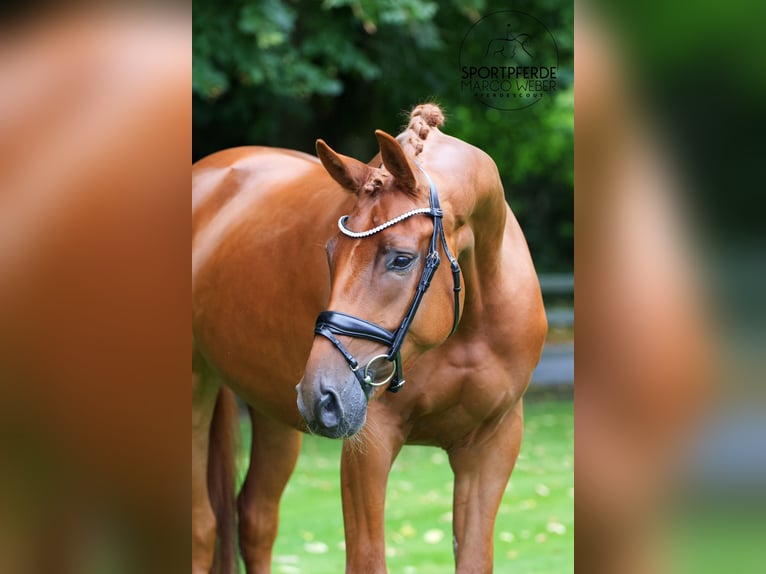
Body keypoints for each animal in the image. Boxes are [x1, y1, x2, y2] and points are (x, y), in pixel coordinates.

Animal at [194, 104, 552, 574]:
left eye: (401, 259)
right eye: (330, 253)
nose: (323, 394)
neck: (470, 321)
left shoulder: (491, 445)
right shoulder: (370, 445)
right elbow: (367, 558)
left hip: (274, 413)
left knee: (256, 518)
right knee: (203, 527)